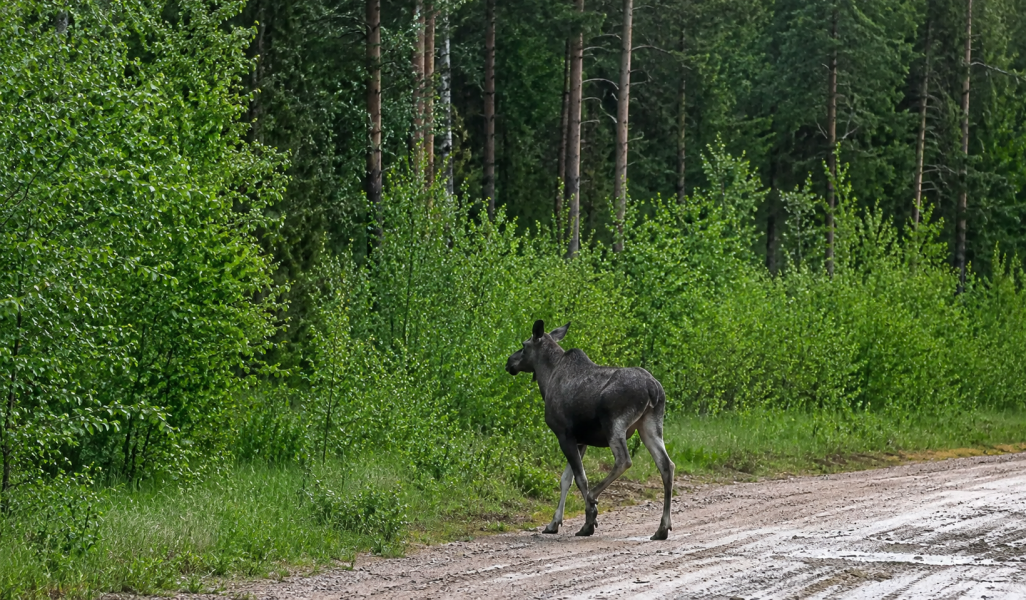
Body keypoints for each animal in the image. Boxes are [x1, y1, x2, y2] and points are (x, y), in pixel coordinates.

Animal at [506, 320, 675, 540]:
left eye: (524, 345)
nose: (509, 361)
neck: (547, 378)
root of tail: (652, 389)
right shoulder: (581, 440)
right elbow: (566, 479)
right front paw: (554, 523)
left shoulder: (564, 435)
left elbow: (580, 479)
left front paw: (589, 521)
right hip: (650, 427)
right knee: (666, 465)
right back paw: (662, 528)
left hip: (614, 424)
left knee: (624, 460)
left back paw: (594, 497)